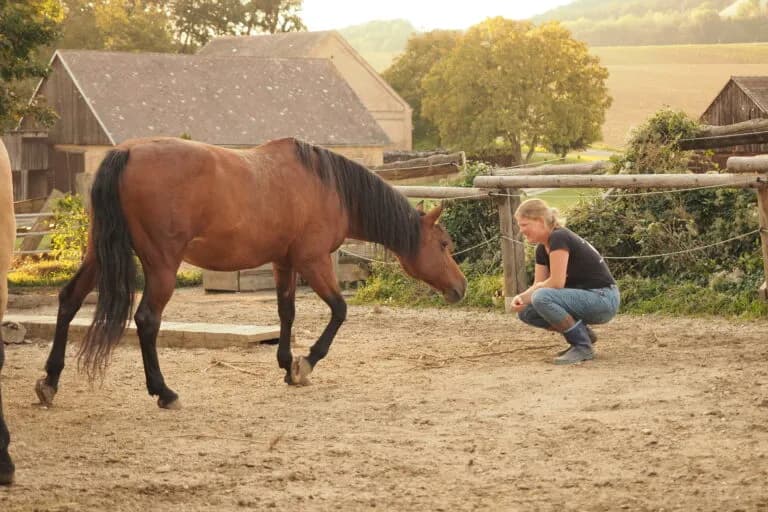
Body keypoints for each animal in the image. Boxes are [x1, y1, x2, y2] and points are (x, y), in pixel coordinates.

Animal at [34, 137, 467, 410]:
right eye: (444, 244)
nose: (460, 288)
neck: (327, 186)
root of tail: (125, 152)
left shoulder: (283, 263)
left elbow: (286, 313)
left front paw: (287, 364)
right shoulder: (313, 262)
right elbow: (340, 311)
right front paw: (306, 363)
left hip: (98, 255)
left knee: (68, 301)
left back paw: (50, 382)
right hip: (161, 266)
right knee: (146, 320)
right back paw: (164, 392)